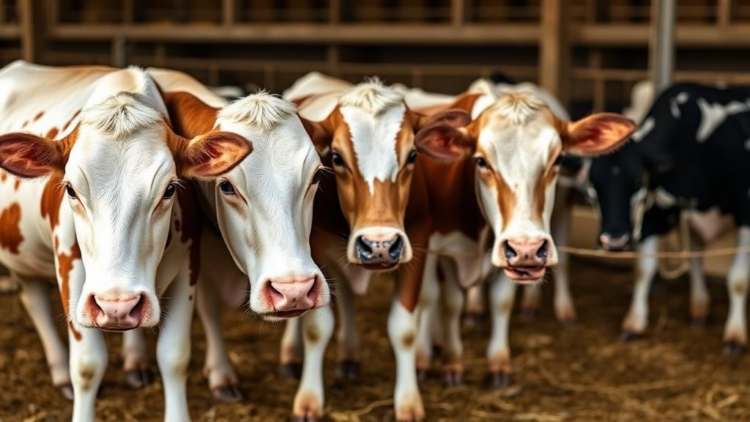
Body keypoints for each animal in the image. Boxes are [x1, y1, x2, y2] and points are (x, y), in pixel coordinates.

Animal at [0, 61, 251, 421]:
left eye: (170, 189)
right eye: (71, 189)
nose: (115, 304)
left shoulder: (188, 265)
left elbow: (174, 356)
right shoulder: (70, 269)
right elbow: (88, 365)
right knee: (35, 302)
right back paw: (61, 374)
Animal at [588, 82, 750, 355]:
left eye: (637, 179)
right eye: (593, 184)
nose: (614, 241)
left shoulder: (746, 212)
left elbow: (738, 278)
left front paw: (735, 336)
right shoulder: (655, 211)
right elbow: (644, 269)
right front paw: (634, 323)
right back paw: (699, 308)